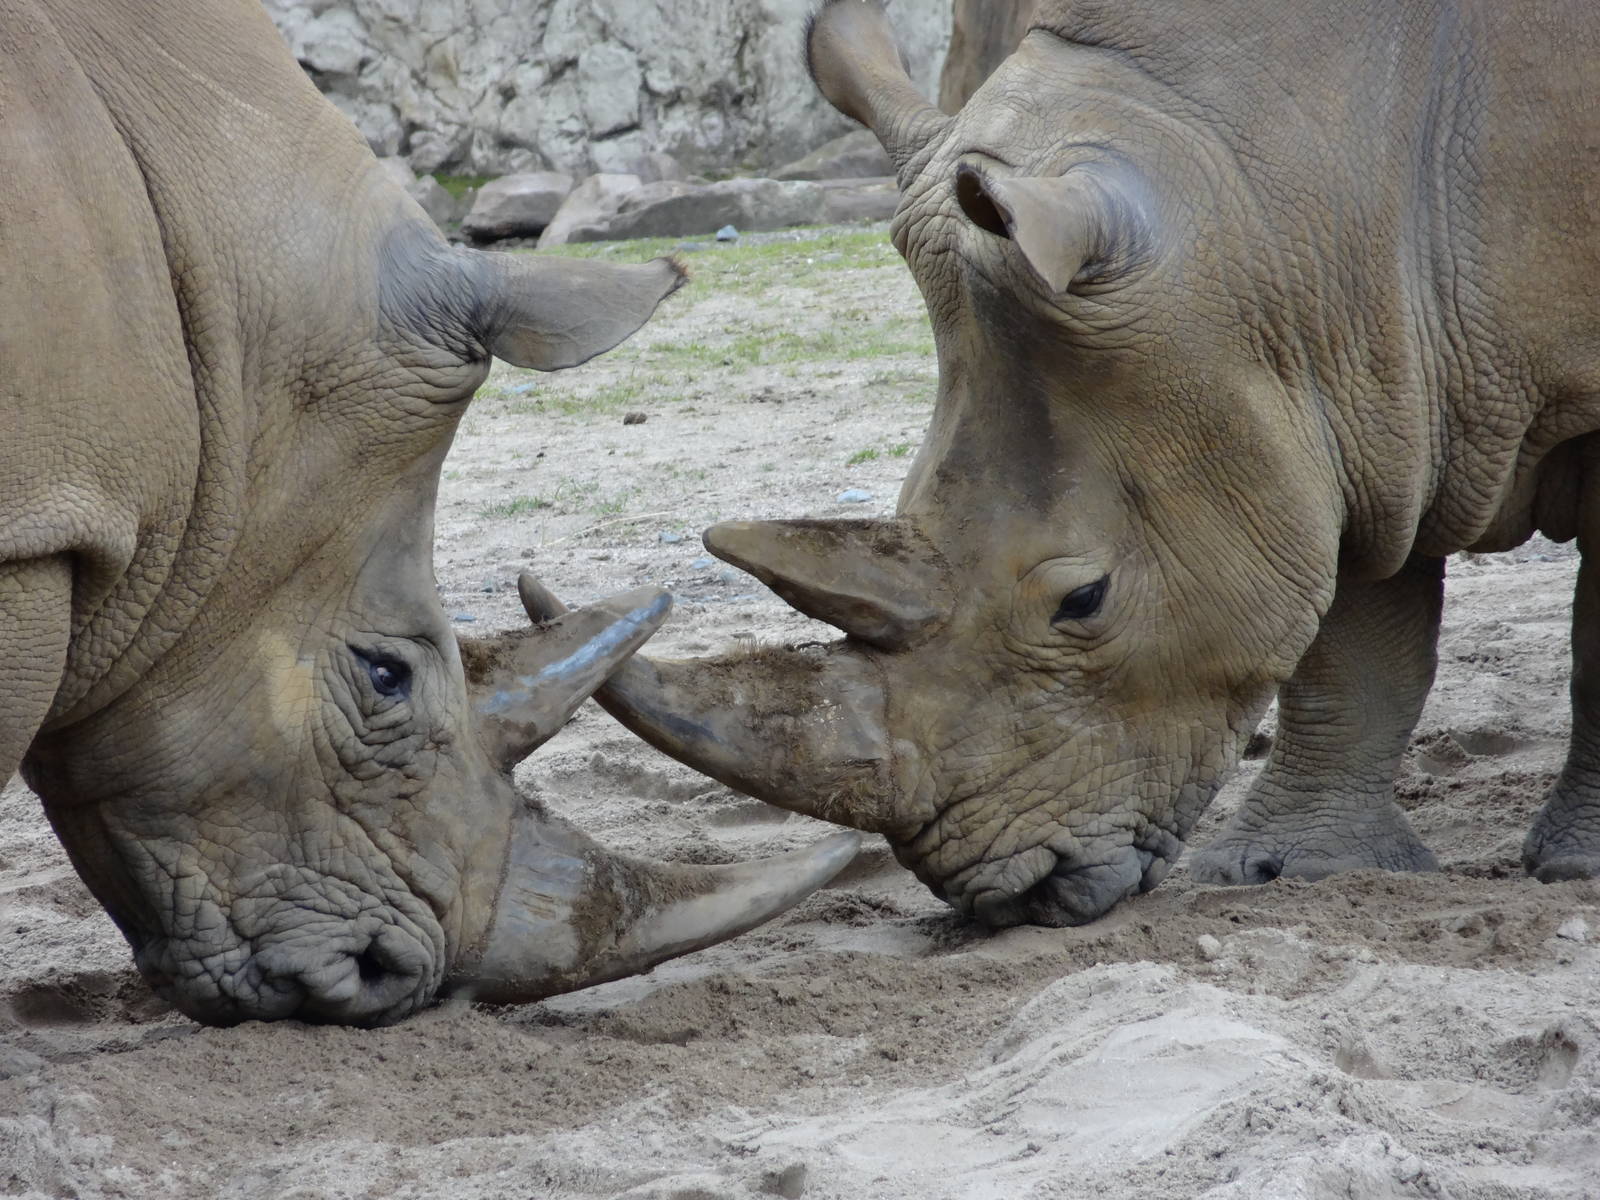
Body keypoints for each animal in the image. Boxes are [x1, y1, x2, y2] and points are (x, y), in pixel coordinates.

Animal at [540, 0, 1600, 927]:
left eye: (1083, 600)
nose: (1006, 896)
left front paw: (1576, 868)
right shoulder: (1355, 392)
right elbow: (1358, 635)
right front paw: (1290, 873)